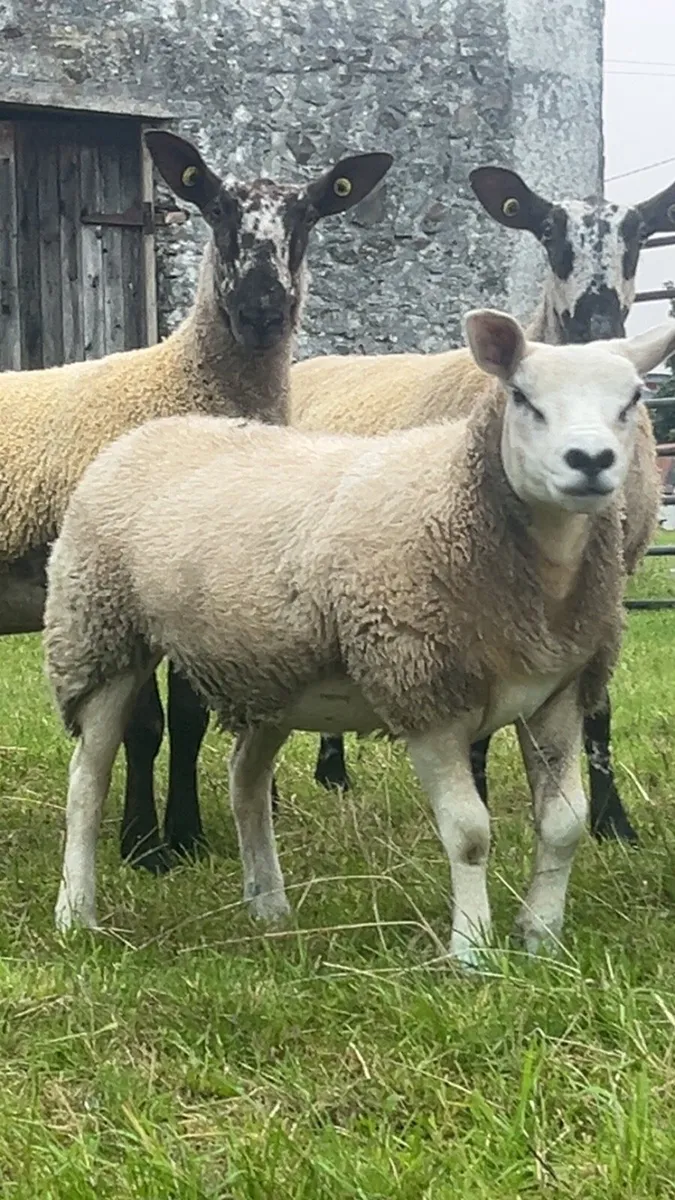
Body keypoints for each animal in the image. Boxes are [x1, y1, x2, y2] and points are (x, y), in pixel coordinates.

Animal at [0, 128, 392, 873]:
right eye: (215, 209)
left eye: (307, 215)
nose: (261, 312)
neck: (179, 381)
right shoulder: (123, 589)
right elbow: (144, 726)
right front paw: (144, 846)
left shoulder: (197, 581)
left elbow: (185, 720)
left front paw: (184, 837)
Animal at [44, 308, 675, 959]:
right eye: (522, 397)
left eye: (632, 399)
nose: (590, 460)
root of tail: (143, 435)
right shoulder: (423, 691)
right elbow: (469, 833)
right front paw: (471, 951)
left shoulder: (559, 694)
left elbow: (564, 824)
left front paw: (541, 939)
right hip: (100, 634)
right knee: (87, 782)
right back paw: (76, 913)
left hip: (271, 671)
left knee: (246, 778)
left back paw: (268, 906)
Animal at [287, 165, 675, 840]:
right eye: (548, 233)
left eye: (639, 235)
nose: (596, 323)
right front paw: (480, 796)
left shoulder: (612, 578)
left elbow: (597, 706)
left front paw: (613, 821)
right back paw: (331, 770)